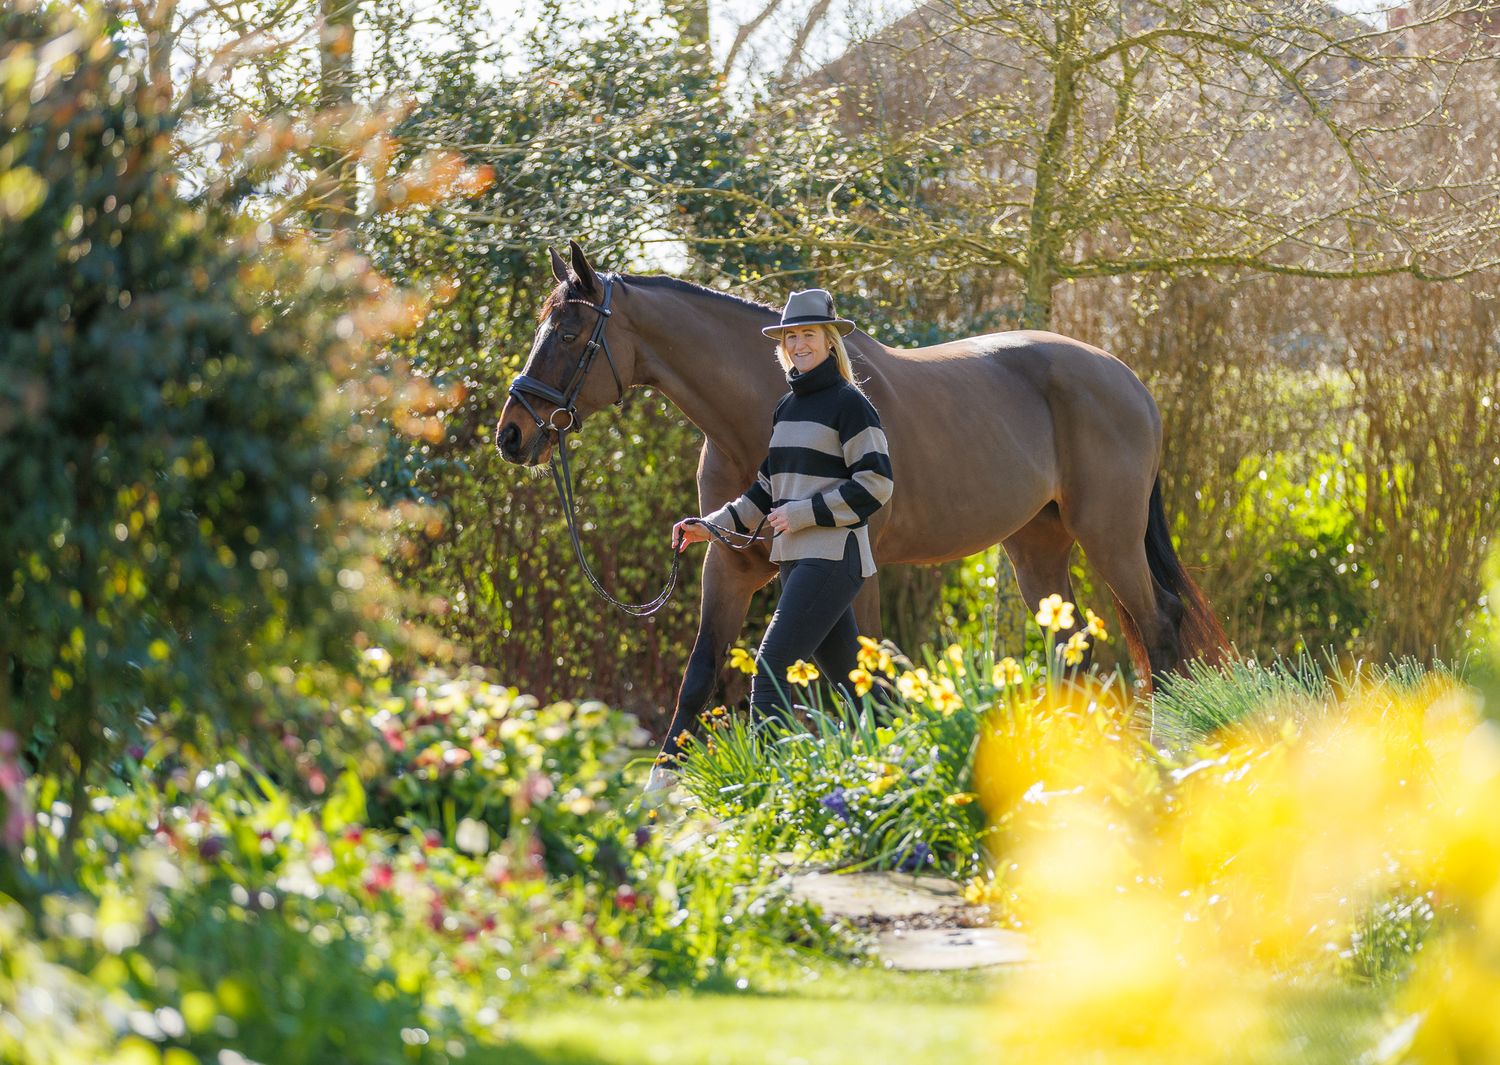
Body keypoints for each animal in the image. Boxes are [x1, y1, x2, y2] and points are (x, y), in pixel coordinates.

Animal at [496, 241, 1230, 750]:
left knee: (1159, 624)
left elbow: (861, 678)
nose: (512, 434)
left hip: (1109, 536)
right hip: (1037, 546)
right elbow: (701, 674)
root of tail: (1127, 380)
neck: (765, 413)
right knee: (1072, 643)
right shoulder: (726, 562)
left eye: (569, 334)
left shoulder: (857, 570)